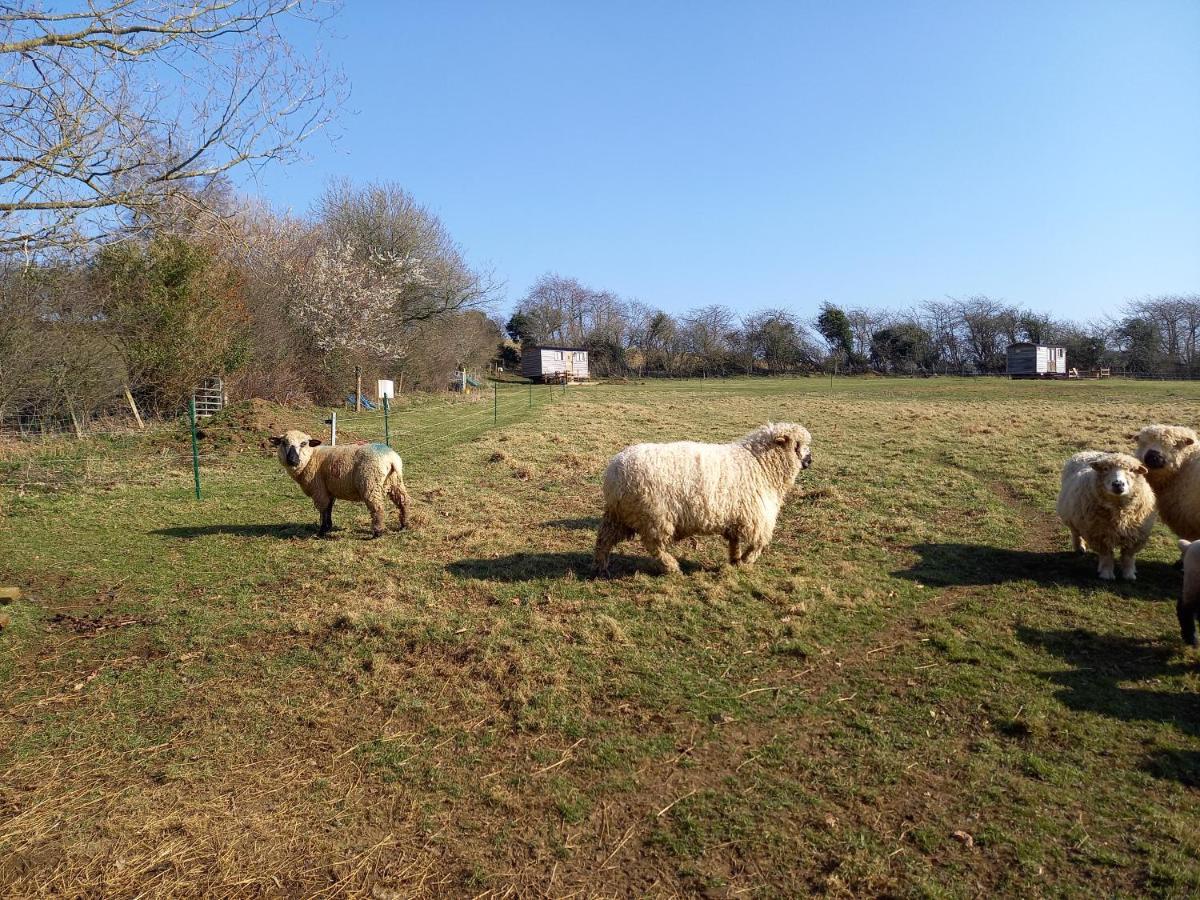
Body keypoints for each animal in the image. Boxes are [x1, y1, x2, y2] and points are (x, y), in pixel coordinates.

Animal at [270, 434, 410, 540]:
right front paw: (328, 527)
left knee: (377, 508)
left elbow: (323, 510)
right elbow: (329, 508)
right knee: (404, 501)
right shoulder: (329, 490)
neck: (311, 457)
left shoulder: (319, 490)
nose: (292, 460)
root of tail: (391, 458)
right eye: (283, 442)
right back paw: (404, 525)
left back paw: (377, 533)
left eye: (304, 443)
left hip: (370, 483)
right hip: (395, 482)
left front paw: (321, 532)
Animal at [592, 422, 811, 578]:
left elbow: (735, 541)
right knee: (655, 547)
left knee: (604, 539)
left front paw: (735, 560)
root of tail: (613, 471)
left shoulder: (736, 517)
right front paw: (747, 560)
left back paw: (602, 567)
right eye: (798, 445)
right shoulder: (755, 517)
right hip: (654, 516)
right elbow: (757, 544)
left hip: (619, 515)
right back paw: (672, 567)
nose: (810, 460)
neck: (759, 463)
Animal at [1056, 451, 1156, 585]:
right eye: (1105, 469)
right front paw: (1106, 574)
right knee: (1076, 533)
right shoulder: (1099, 535)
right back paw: (1079, 547)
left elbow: (1128, 557)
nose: (1118, 484)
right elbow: (1107, 556)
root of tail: (1088, 452)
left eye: (1131, 470)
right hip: (1071, 516)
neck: (1119, 512)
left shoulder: (1135, 536)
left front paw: (1129, 575)